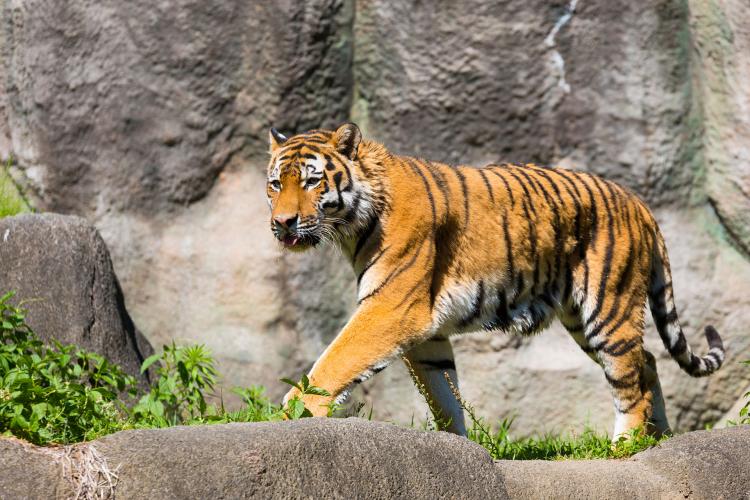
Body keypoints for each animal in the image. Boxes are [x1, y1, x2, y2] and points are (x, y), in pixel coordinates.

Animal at [266, 123, 728, 440]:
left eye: (311, 181)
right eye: (274, 184)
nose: (282, 222)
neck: (353, 223)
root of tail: (639, 202)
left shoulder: (391, 307)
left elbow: (334, 361)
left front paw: (293, 414)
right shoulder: (425, 330)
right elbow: (443, 392)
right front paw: (457, 444)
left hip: (607, 309)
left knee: (630, 381)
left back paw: (625, 447)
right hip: (582, 319)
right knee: (647, 361)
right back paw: (659, 437)